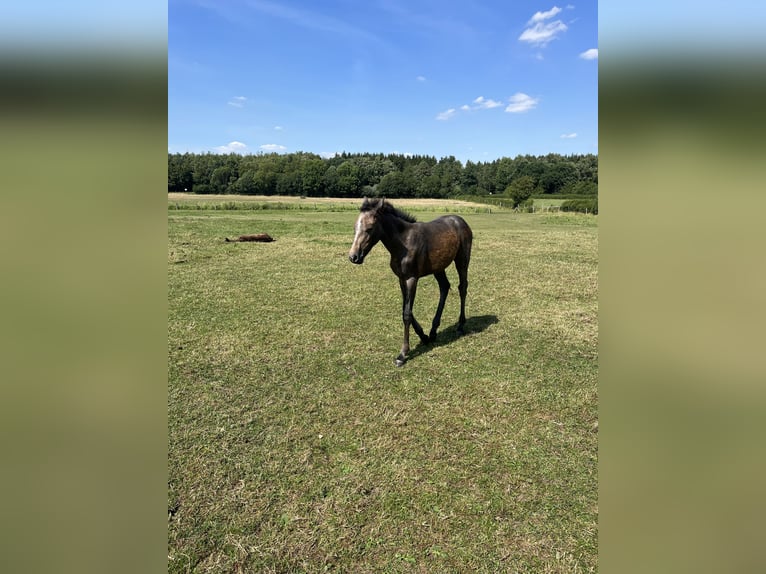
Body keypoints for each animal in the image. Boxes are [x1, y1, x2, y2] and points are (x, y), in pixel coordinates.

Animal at [348, 197, 472, 366]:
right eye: (355, 228)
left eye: (369, 228)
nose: (353, 257)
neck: (403, 242)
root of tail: (461, 221)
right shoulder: (401, 279)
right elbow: (405, 309)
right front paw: (423, 336)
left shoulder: (412, 279)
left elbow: (407, 314)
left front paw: (402, 354)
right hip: (438, 267)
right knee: (445, 287)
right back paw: (433, 332)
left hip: (462, 260)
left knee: (462, 287)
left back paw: (460, 325)